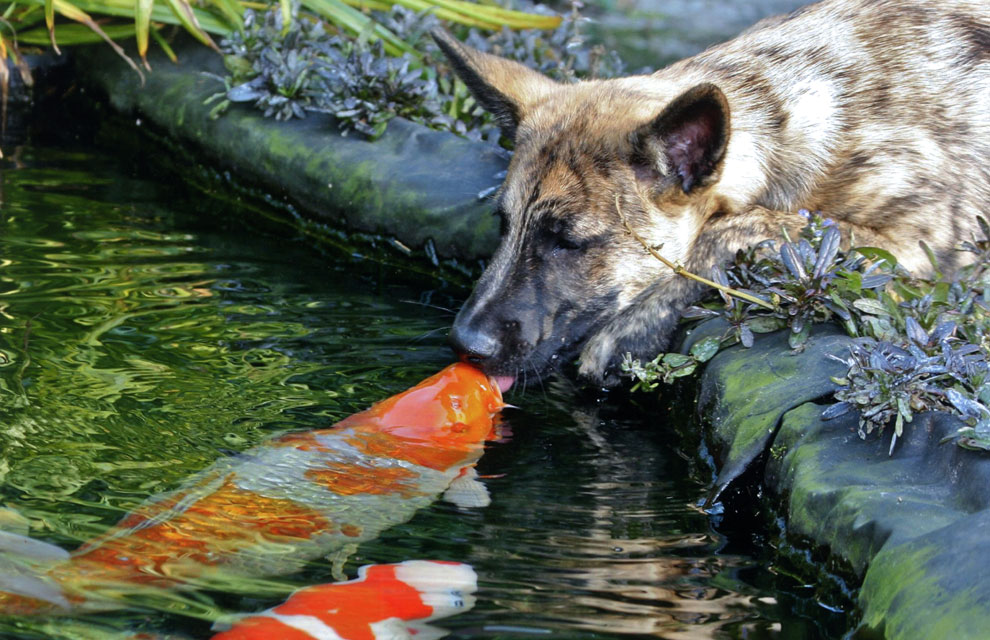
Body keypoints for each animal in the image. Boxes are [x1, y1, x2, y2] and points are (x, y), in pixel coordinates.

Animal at [434, 0, 990, 388]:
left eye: (567, 242)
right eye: (503, 224)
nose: (464, 345)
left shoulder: (921, 253)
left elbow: (737, 226)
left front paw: (633, 327)